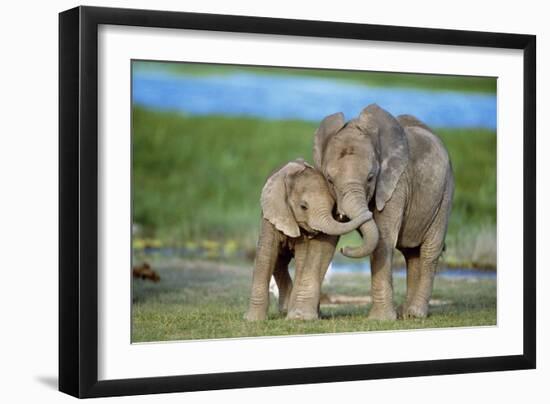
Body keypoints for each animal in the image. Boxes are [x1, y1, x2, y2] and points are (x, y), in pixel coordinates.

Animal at [245, 159, 370, 320]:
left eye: (333, 206)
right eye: (303, 206)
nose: (344, 248)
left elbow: (302, 258)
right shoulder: (272, 214)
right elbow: (267, 254)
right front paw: (252, 320)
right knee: (279, 261)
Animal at [312, 105, 454, 320]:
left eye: (371, 178)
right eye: (329, 180)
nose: (344, 249)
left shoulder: (396, 185)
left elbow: (383, 240)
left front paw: (380, 319)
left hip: (444, 194)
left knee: (430, 250)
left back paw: (415, 314)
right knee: (412, 254)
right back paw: (405, 313)